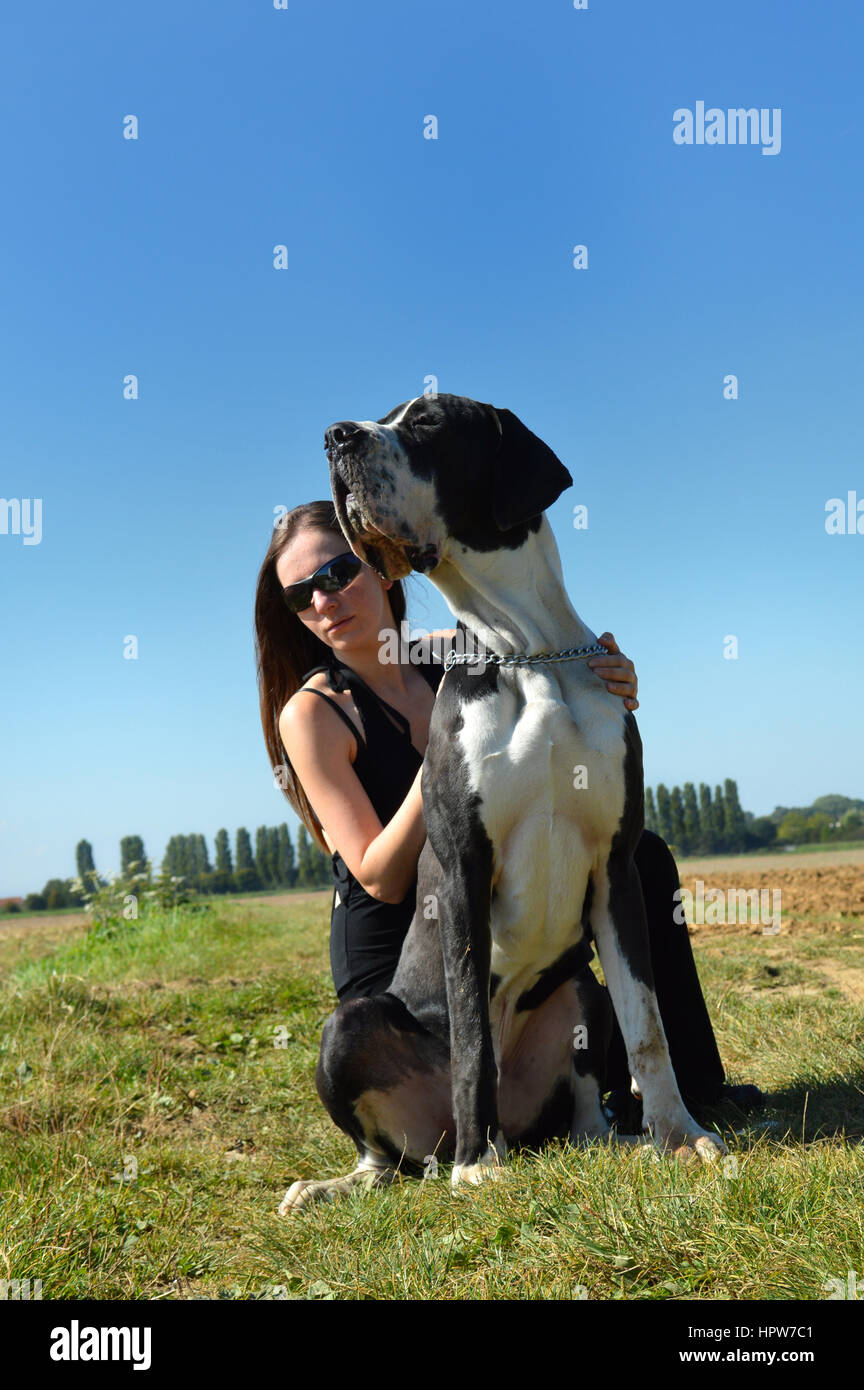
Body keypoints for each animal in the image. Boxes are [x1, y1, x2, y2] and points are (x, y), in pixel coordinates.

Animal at [280, 394, 727, 1217]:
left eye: (427, 421)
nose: (335, 436)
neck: (529, 653)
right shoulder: (463, 869)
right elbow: (470, 1034)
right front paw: (477, 1170)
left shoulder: (615, 868)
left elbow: (647, 1022)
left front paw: (679, 1136)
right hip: (348, 1031)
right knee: (382, 1155)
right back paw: (366, 1176)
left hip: (578, 987)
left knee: (585, 1095)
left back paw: (603, 1138)